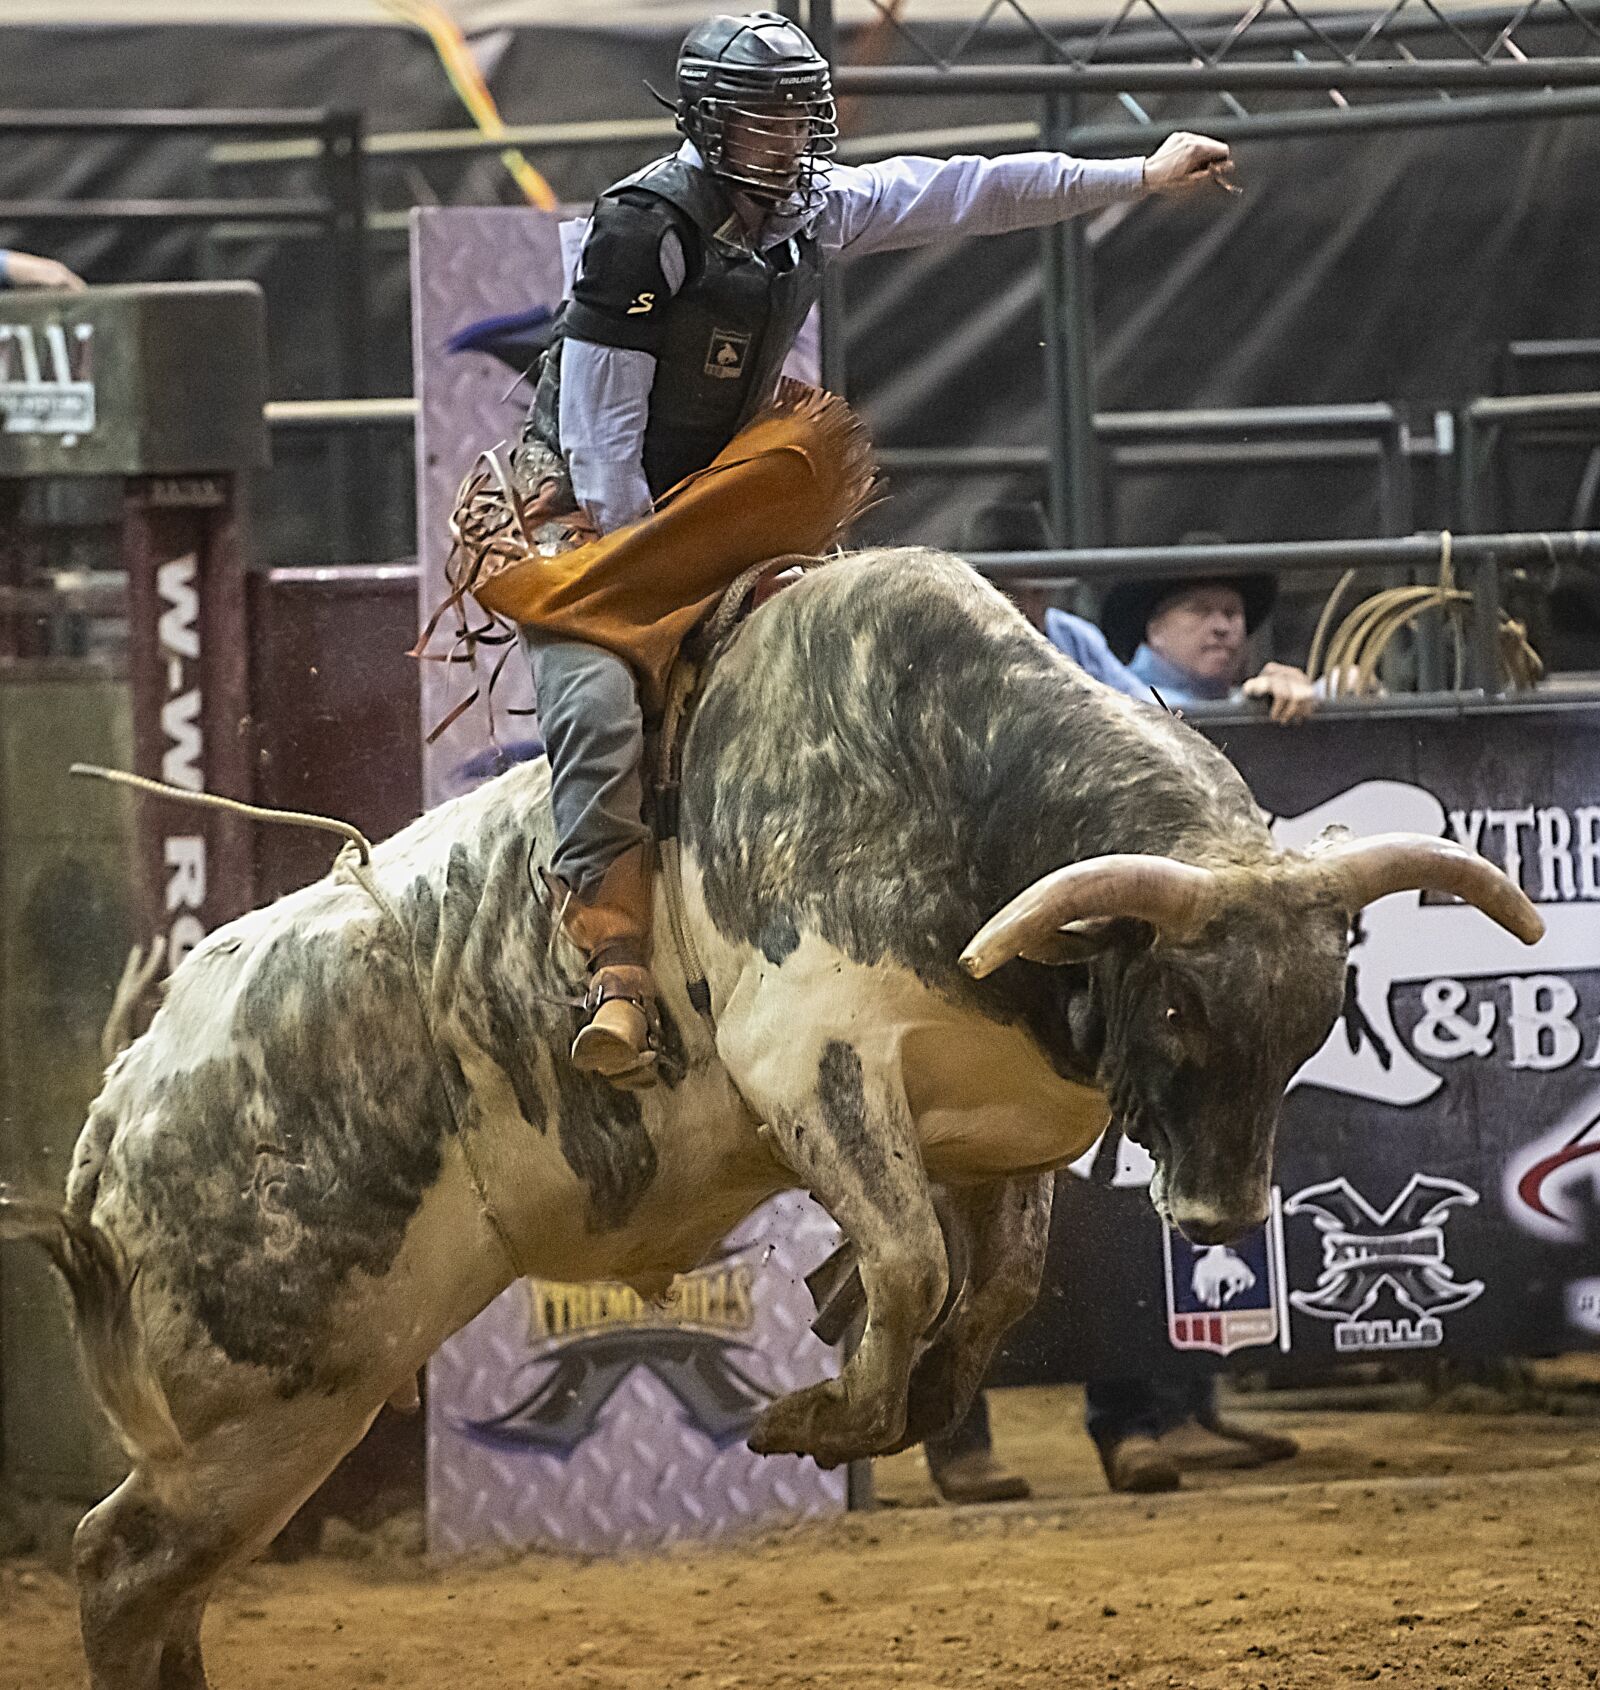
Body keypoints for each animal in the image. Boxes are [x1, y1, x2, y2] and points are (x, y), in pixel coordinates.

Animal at [0, 547, 1540, 1683]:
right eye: (1175, 1008)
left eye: (1314, 1017)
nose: (1220, 1217)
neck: (951, 782)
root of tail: (119, 1111)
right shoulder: (813, 1057)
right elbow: (913, 1263)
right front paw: (825, 1415)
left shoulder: (996, 1125)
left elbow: (991, 1288)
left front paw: (909, 1390)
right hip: (272, 1397)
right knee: (120, 1567)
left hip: (277, 1419)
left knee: (165, 1586)